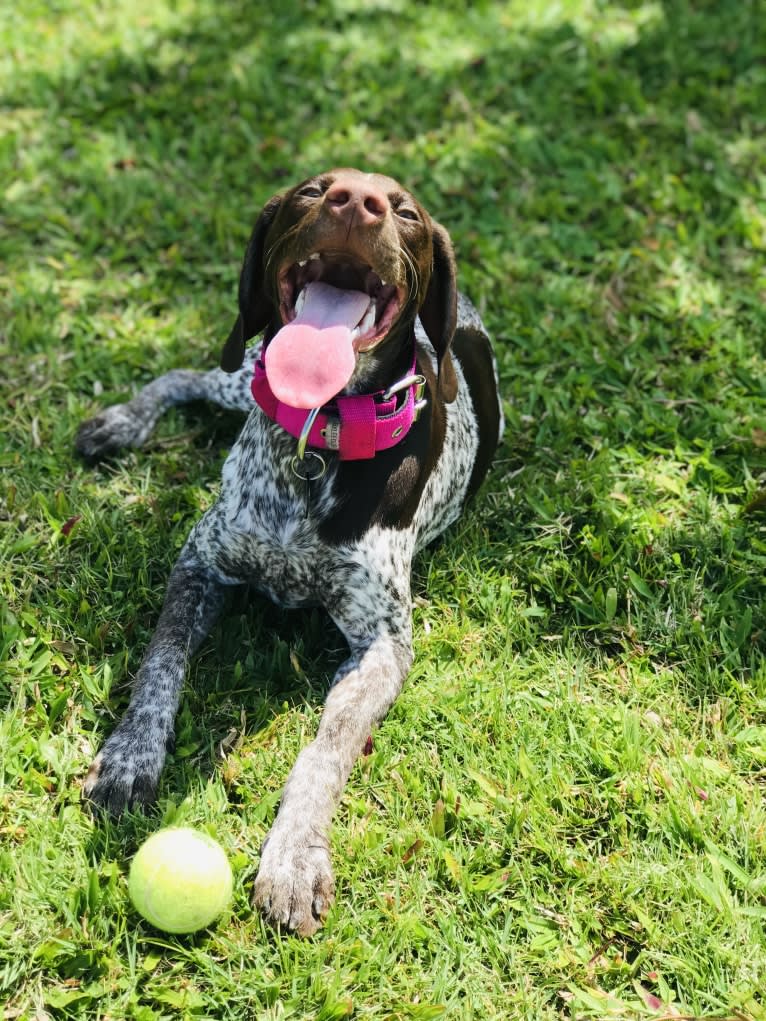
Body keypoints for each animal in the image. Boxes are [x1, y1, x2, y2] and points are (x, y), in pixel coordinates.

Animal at [79, 167, 504, 935]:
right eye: (313, 190)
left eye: (404, 211)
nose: (357, 202)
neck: (316, 436)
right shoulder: (201, 561)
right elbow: (160, 664)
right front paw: (129, 757)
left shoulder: (383, 644)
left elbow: (326, 748)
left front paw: (293, 857)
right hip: (244, 370)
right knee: (187, 376)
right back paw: (122, 422)